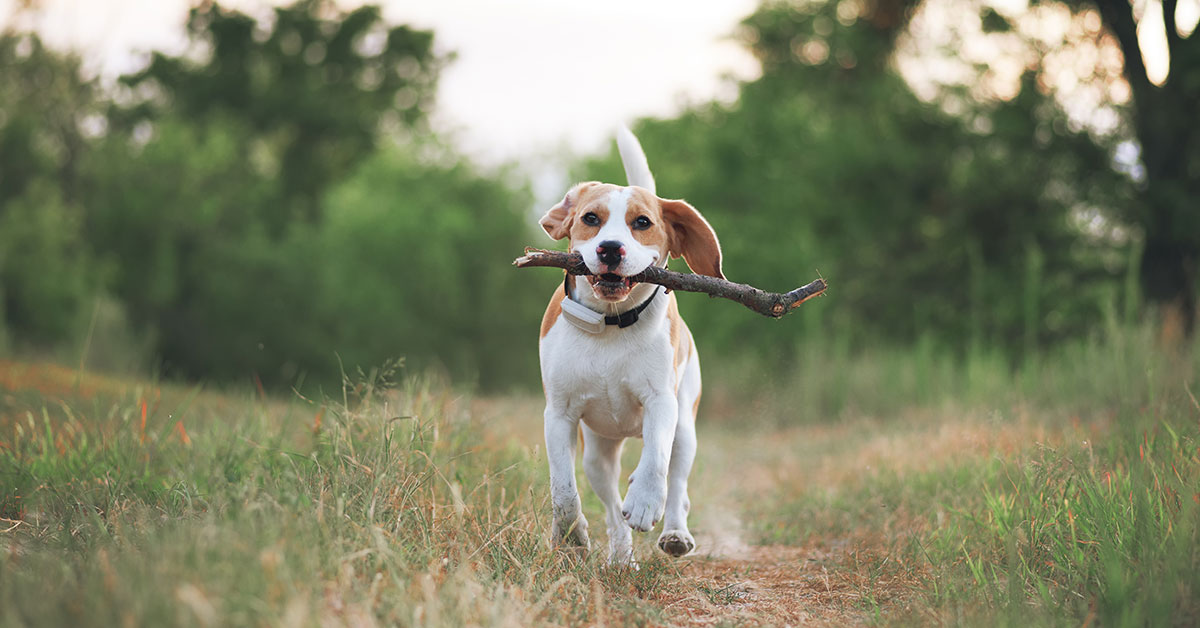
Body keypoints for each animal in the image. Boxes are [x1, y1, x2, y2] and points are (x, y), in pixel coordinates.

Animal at [537, 127, 720, 564]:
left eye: (642, 222)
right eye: (590, 219)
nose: (610, 248)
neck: (610, 324)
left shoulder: (661, 402)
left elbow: (655, 460)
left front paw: (645, 500)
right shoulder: (558, 414)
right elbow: (562, 487)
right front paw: (571, 532)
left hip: (686, 427)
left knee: (678, 483)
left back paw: (675, 532)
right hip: (597, 453)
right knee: (609, 506)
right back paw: (621, 556)